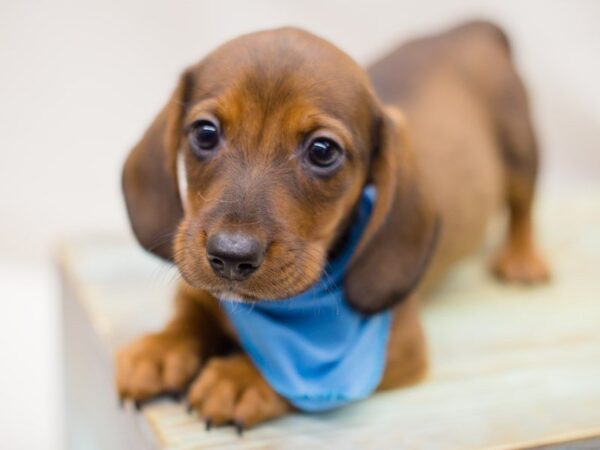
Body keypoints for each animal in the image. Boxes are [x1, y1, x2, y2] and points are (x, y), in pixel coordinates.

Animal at [115, 20, 552, 428]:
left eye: (323, 151)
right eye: (204, 132)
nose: (230, 256)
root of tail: (468, 30)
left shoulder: (400, 345)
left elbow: (294, 380)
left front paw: (242, 378)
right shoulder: (200, 289)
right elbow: (190, 315)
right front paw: (159, 349)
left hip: (521, 148)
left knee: (523, 206)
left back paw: (523, 257)